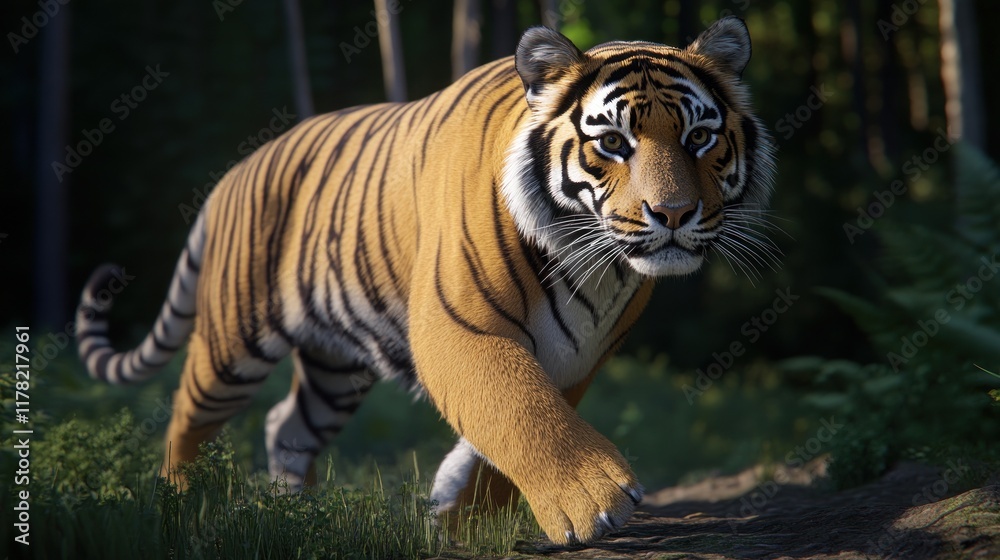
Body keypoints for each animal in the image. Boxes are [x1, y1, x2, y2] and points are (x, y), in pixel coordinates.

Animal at [75, 16, 775, 544]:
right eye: (613, 144)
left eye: (699, 136)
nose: (674, 215)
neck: (592, 262)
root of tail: (234, 173)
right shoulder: (456, 326)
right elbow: (518, 404)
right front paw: (590, 500)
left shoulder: (581, 350)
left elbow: (508, 425)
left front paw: (464, 516)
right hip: (232, 341)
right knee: (188, 418)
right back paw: (180, 506)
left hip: (335, 365)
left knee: (286, 424)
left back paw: (293, 512)